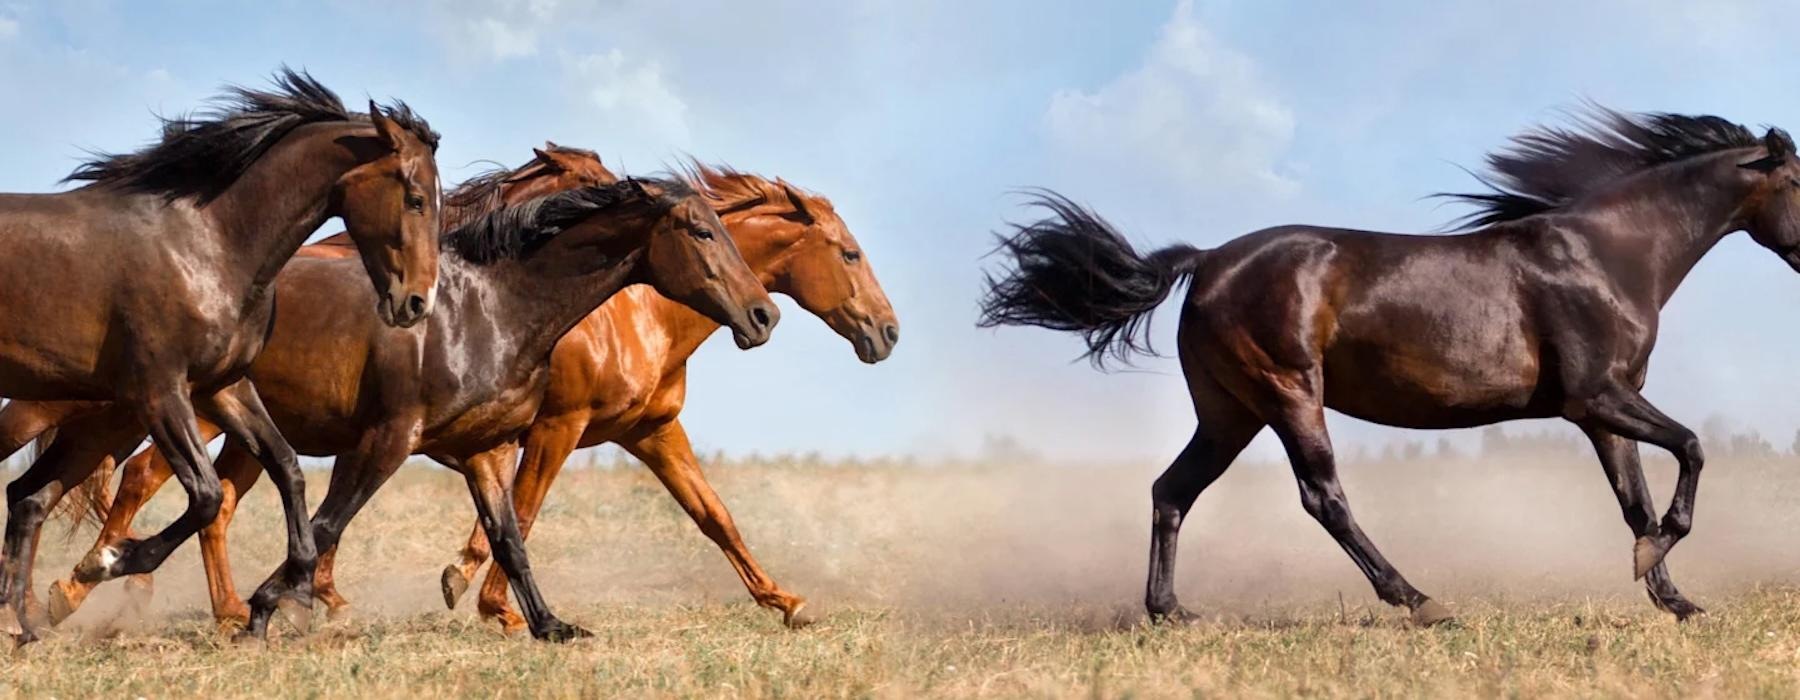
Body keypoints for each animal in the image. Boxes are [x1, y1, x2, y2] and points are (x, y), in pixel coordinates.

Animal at [0, 68, 443, 643]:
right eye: (415, 198)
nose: (417, 302)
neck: (207, 242)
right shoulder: (161, 391)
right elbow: (208, 494)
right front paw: (107, 560)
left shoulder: (222, 385)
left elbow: (286, 467)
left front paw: (292, 594)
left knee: (27, 496)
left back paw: (23, 624)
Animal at [977, 107, 1800, 625]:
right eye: (1796, 182)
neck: (1608, 253)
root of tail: (1207, 261)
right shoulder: (1595, 397)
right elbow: (1691, 449)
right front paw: (1658, 563)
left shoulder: (1606, 410)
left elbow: (1635, 502)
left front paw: (1673, 598)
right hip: (1289, 397)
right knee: (1324, 499)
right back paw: (1420, 601)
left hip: (1229, 413)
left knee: (1171, 491)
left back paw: (1171, 611)